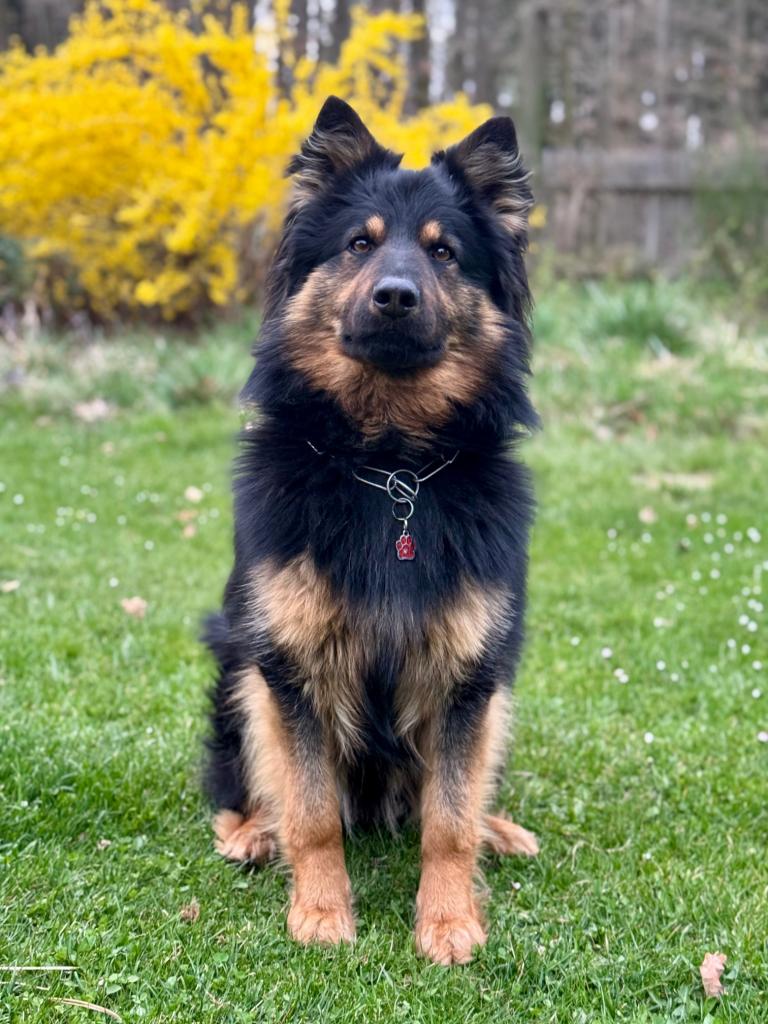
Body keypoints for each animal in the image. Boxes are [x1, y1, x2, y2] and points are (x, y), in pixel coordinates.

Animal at [204, 96, 539, 966]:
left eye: (444, 252)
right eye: (360, 242)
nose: (394, 295)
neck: (390, 467)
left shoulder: (467, 676)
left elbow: (448, 820)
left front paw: (449, 921)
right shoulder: (291, 667)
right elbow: (314, 811)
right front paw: (322, 913)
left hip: (499, 698)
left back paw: (500, 830)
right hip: (238, 672)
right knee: (240, 786)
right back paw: (251, 832)